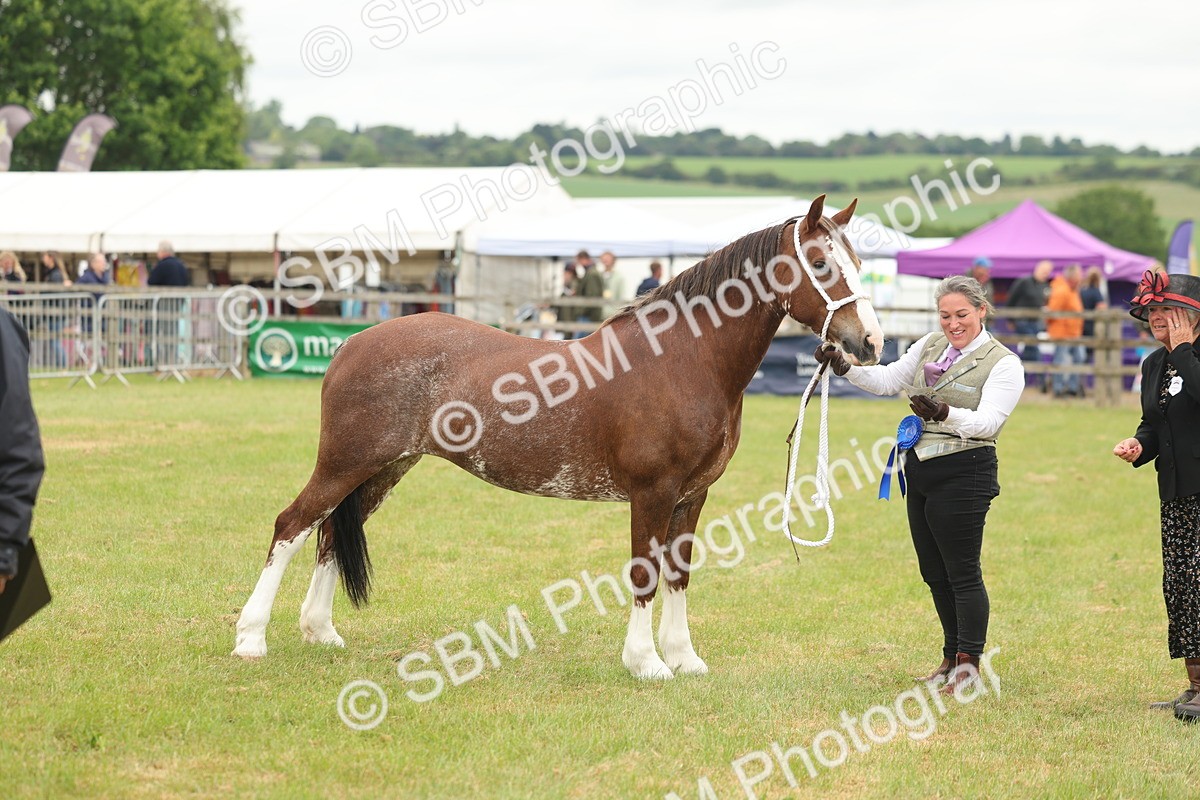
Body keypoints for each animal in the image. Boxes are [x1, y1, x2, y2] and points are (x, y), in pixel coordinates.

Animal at [232, 195, 885, 679]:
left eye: (858, 262)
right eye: (822, 265)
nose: (871, 343)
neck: (682, 359)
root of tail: (351, 343)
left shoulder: (693, 495)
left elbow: (678, 573)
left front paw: (684, 658)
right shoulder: (652, 492)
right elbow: (645, 573)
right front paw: (646, 663)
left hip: (385, 467)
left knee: (329, 534)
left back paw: (321, 632)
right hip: (345, 461)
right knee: (292, 526)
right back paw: (251, 638)